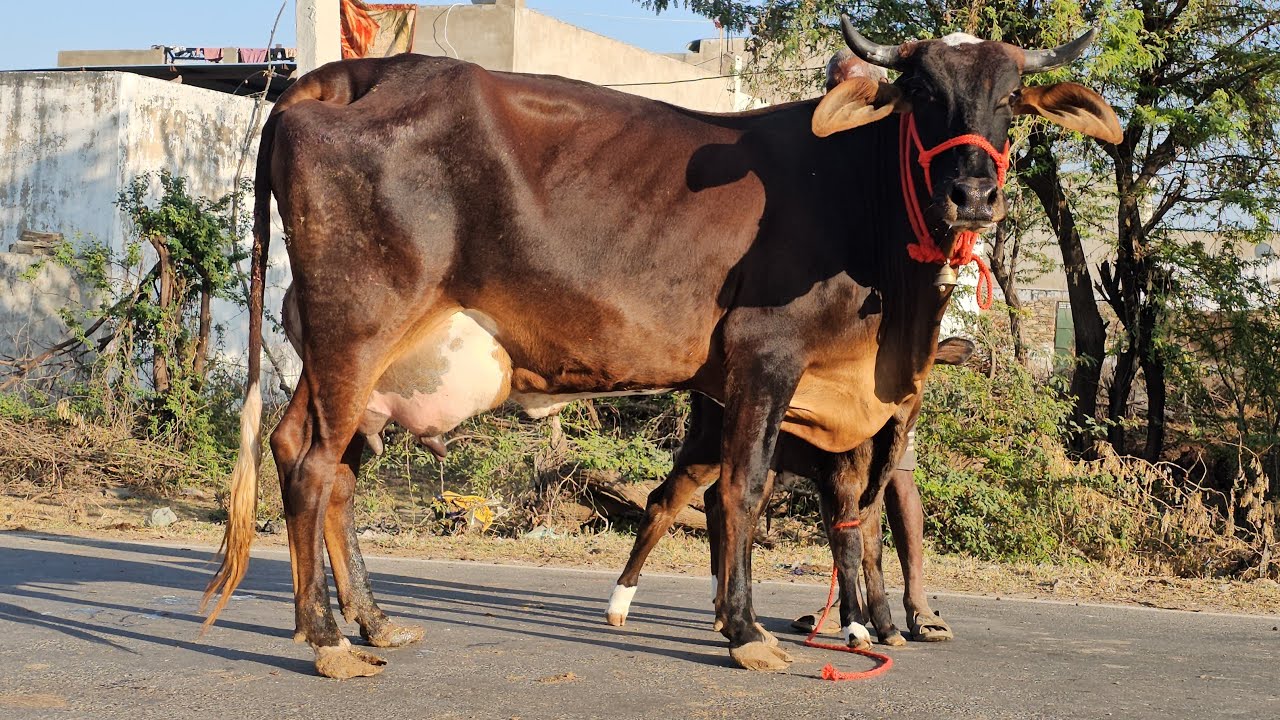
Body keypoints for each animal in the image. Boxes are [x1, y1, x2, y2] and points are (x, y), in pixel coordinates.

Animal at [604, 337, 975, 648]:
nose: (898, 411)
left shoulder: (872, 489)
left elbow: (873, 553)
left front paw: (886, 627)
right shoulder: (840, 479)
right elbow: (850, 550)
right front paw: (855, 627)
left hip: (755, 461)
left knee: (721, 505)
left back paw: (724, 611)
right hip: (704, 444)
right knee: (664, 502)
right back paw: (619, 604)